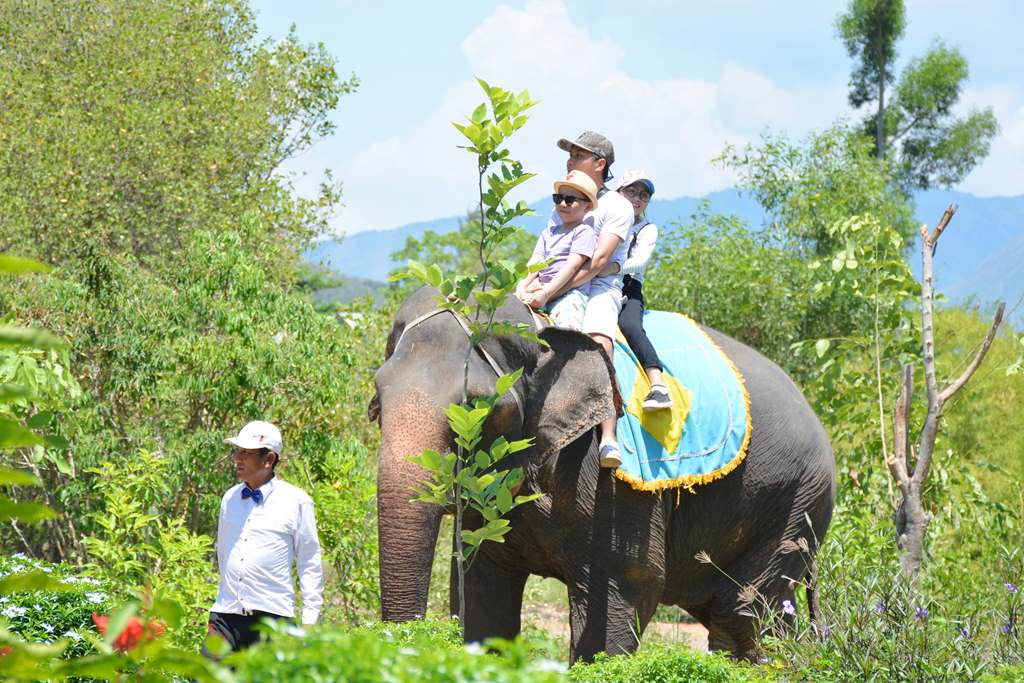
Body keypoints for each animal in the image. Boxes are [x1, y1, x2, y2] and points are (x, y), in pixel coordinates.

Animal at [372, 286, 835, 663]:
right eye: (377, 396)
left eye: (480, 407)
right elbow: (482, 587)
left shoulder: (609, 480)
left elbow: (622, 587)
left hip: (796, 500)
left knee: (743, 613)